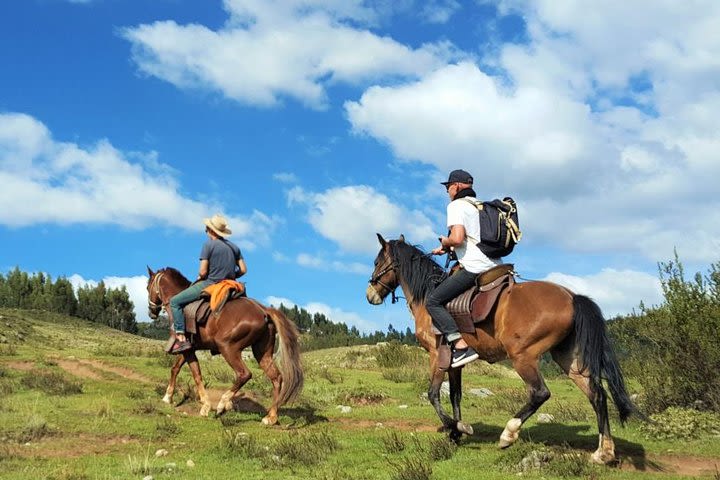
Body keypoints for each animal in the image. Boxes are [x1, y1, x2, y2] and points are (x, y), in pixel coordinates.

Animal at [146, 266, 304, 424]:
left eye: (148, 287)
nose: (151, 312)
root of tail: (264, 310)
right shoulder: (189, 348)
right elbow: (176, 369)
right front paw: (168, 397)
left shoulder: (188, 349)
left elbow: (196, 374)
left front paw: (205, 406)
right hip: (262, 352)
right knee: (276, 378)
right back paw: (271, 416)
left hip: (228, 348)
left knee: (244, 374)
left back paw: (223, 404)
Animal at [368, 234, 640, 464]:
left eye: (377, 261)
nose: (370, 294)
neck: (428, 297)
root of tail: (572, 297)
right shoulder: (454, 362)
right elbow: (455, 395)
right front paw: (456, 431)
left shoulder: (437, 356)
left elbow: (433, 394)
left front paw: (457, 428)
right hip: (568, 358)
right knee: (597, 395)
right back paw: (604, 453)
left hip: (522, 356)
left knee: (540, 393)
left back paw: (508, 434)